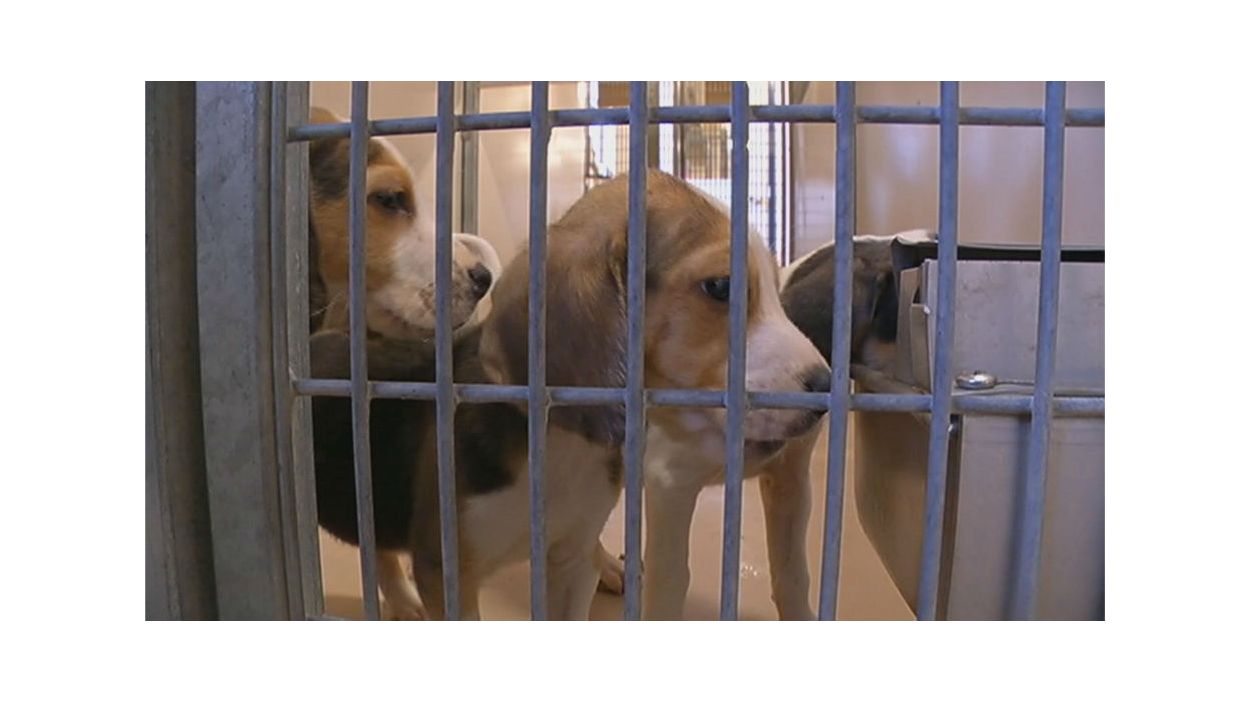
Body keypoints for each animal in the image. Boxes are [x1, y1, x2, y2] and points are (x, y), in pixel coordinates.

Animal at [481, 170, 833, 620]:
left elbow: (792, 576)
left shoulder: (790, 476)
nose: (825, 386)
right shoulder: (672, 486)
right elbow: (672, 582)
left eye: (776, 285)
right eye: (721, 286)